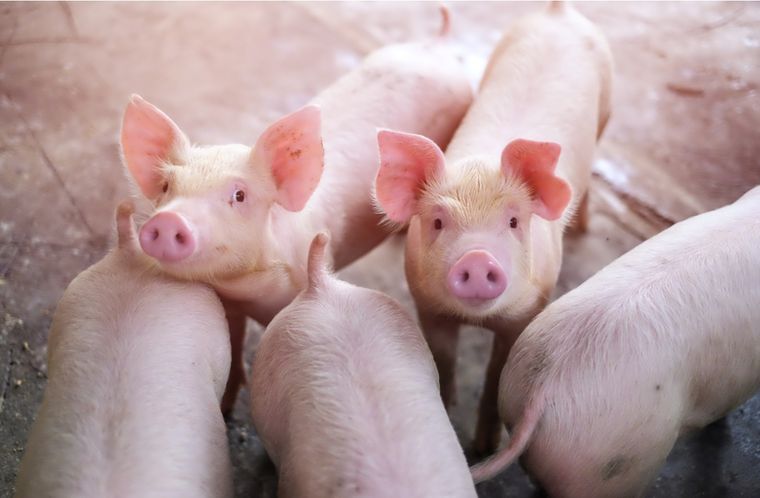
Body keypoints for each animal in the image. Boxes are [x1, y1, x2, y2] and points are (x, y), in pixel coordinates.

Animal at [119, 6, 473, 412]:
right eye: (166, 187)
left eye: (239, 195)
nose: (168, 220)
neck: (251, 289)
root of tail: (438, 42)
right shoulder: (231, 301)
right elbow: (234, 344)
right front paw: (226, 408)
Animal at [373, 0, 612, 453]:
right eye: (438, 221)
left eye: (514, 221)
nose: (478, 258)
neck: (478, 320)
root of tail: (557, 12)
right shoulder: (428, 305)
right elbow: (444, 362)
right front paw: (449, 412)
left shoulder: (529, 308)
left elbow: (495, 375)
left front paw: (483, 447)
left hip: (608, 104)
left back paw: (584, 228)